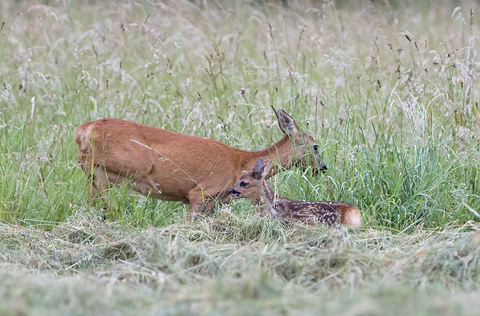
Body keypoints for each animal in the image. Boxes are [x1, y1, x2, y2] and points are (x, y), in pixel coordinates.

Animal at [75, 106, 328, 217]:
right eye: (315, 146)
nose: (323, 168)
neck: (239, 162)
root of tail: (86, 128)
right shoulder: (201, 192)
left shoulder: (216, 202)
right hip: (132, 162)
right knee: (82, 158)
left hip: (104, 177)